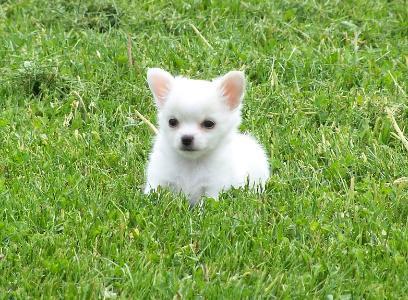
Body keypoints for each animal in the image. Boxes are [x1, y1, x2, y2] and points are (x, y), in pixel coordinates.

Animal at [145, 68, 270, 205]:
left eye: (209, 124)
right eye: (172, 122)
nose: (186, 138)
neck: (191, 163)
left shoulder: (213, 187)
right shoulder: (159, 178)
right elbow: (153, 194)